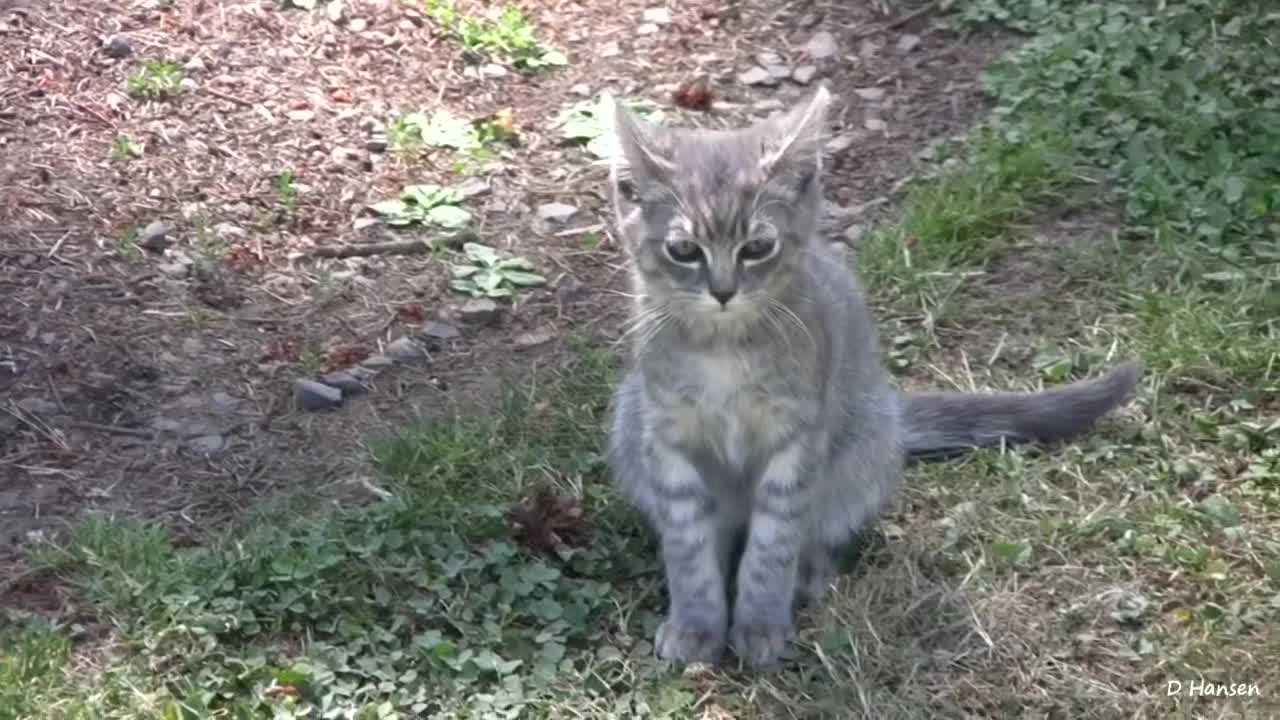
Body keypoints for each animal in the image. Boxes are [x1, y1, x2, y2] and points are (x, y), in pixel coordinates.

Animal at [604, 85, 1146, 666]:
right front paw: (697, 625)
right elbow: (688, 548)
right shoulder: (667, 442)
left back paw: (809, 572)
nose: (723, 291)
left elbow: (773, 546)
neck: (723, 352)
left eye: (757, 248)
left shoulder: (797, 442)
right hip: (629, 423)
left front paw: (760, 623)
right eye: (684, 250)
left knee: (817, 528)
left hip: (861, 449)